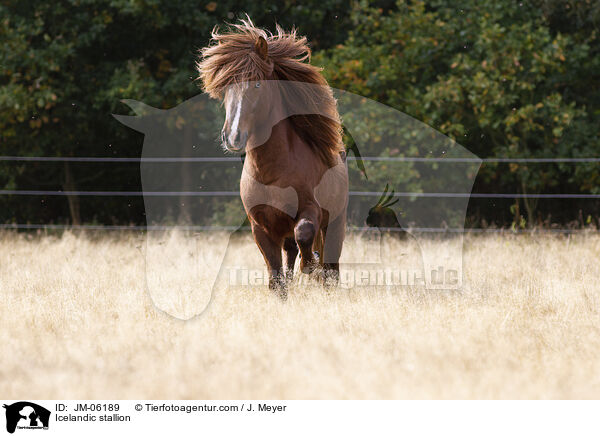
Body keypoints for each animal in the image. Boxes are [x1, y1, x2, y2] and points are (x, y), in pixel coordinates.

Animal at [198, 18, 346, 294]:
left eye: (257, 84)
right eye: (226, 88)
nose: (232, 136)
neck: (273, 173)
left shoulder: (310, 210)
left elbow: (305, 234)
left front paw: (311, 265)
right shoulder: (261, 227)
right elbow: (276, 279)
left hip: (335, 223)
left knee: (330, 265)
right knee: (290, 255)